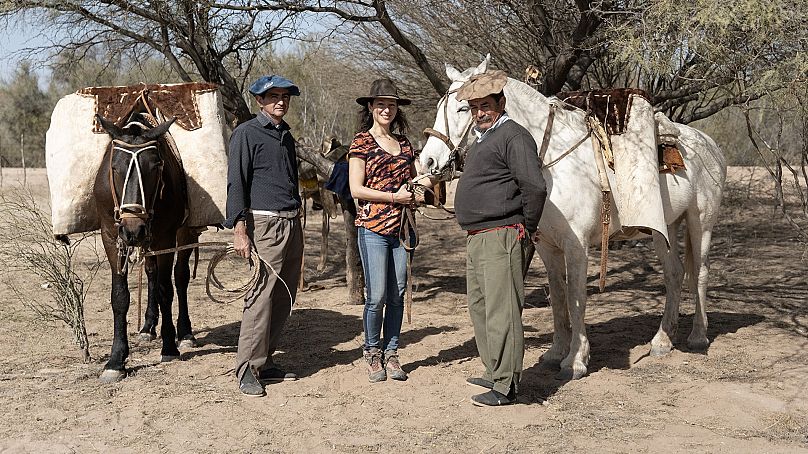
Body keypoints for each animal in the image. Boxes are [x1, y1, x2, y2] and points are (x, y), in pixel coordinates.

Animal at [91, 113, 197, 384]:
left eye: (156, 166)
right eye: (114, 167)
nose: (133, 229)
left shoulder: (166, 238)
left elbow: (166, 290)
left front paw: (169, 347)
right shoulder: (111, 237)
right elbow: (120, 297)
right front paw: (116, 360)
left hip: (183, 233)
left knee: (180, 277)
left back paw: (185, 333)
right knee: (151, 273)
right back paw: (148, 326)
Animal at [420, 59, 728, 380]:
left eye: (463, 108)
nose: (427, 161)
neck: (551, 162)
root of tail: (708, 143)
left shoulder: (576, 245)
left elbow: (576, 296)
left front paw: (576, 360)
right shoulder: (546, 246)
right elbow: (557, 296)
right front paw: (556, 352)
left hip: (701, 222)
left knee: (700, 272)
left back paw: (697, 336)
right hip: (662, 229)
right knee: (674, 273)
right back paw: (662, 340)